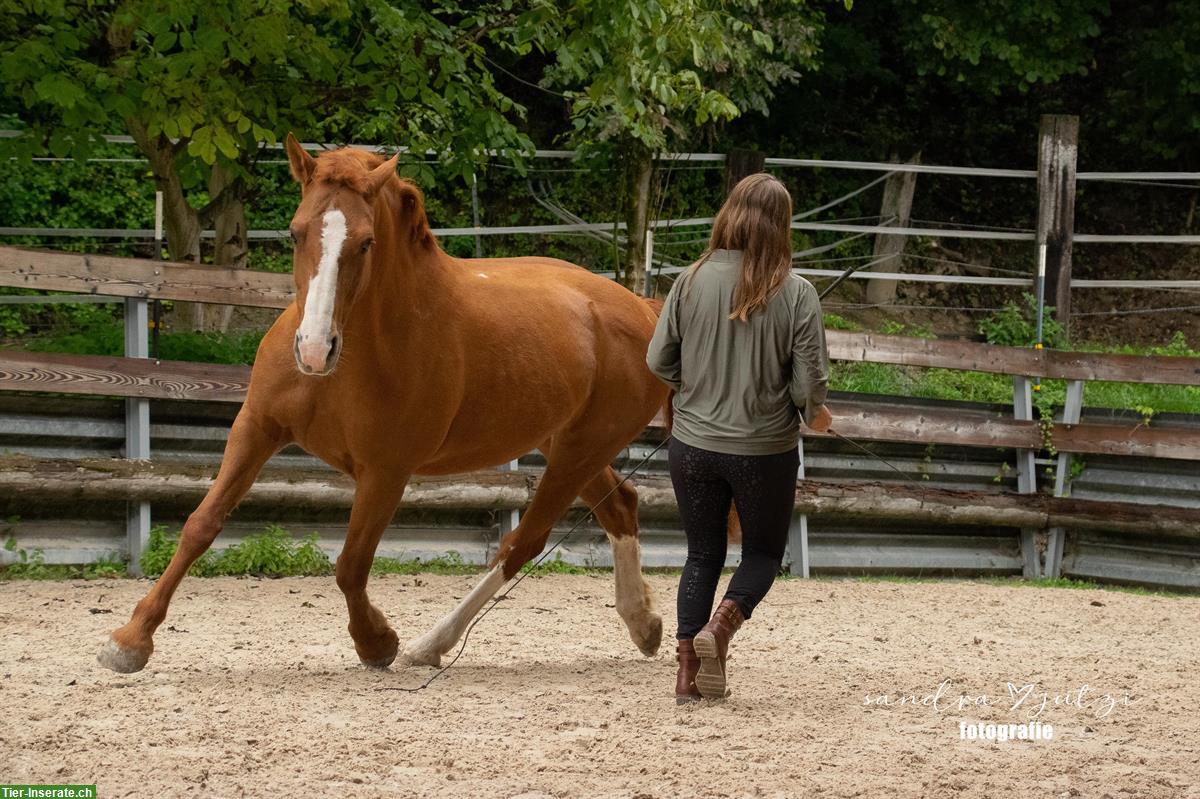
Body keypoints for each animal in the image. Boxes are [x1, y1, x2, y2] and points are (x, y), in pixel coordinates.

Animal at [96, 138, 667, 671]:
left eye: (367, 242)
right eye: (294, 232)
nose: (313, 350)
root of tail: (643, 309)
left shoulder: (386, 470)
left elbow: (351, 564)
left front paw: (377, 642)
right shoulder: (256, 428)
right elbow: (201, 524)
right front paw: (129, 642)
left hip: (580, 450)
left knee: (523, 542)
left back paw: (429, 644)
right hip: (566, 443)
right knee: (619, 505)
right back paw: (643, 624)